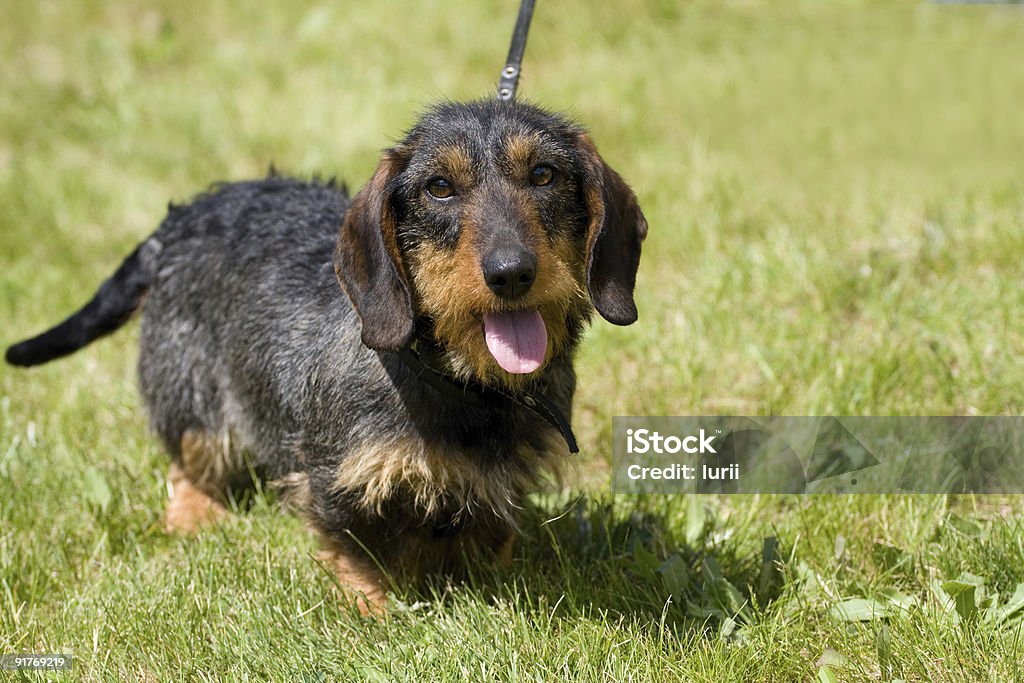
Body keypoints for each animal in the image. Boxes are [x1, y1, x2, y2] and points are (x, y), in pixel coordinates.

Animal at [6, 100, 647, 614]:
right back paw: (194, 518)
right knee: (188, 461)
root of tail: (180, 218)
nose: (511, 272)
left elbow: (489, 537)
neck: (459, 384)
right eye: (439, 187)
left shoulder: (503, 480)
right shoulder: (335, 477)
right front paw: (375, 615)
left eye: (543, 174)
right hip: (193, 395)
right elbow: (357, 551)